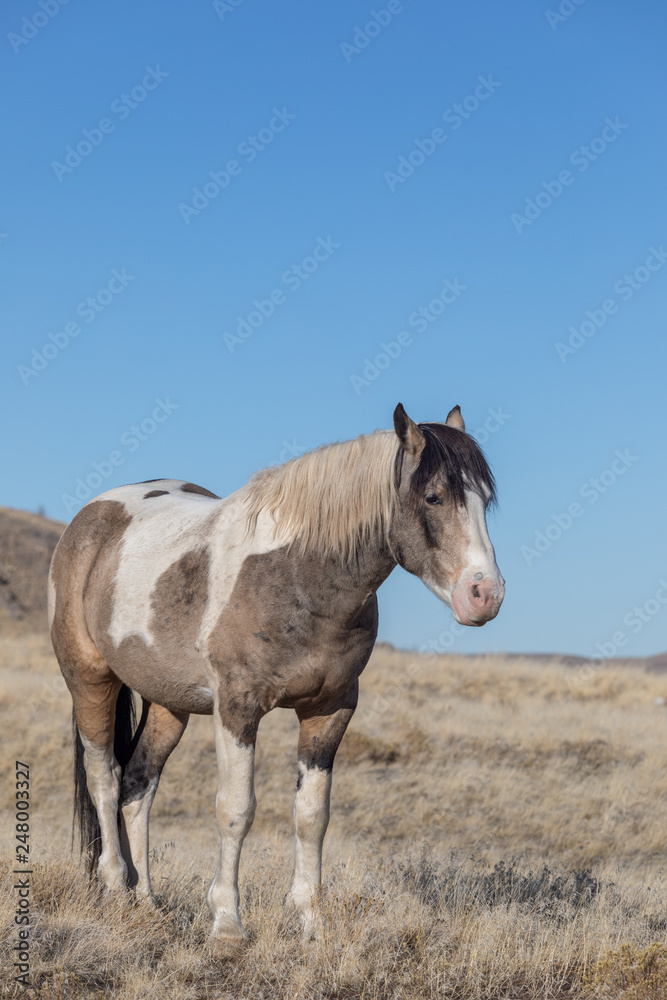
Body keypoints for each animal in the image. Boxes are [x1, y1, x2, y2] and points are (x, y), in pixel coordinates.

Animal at [48, 402, 506, 940]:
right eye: (433, 496)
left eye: (485, 501)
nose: (485, 595)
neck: (298, 576)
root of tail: (92, 518)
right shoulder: (237, 708)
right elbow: (236, 809)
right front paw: (227, 924)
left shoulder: (330, 710)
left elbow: (311, 815)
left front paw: (310, 922)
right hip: (89, 679)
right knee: (105, 778)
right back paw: (117, 888)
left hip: (168, 703)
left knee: (138, 787)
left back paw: (146, 903)